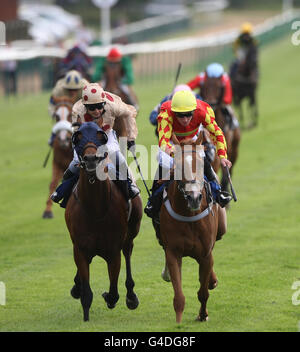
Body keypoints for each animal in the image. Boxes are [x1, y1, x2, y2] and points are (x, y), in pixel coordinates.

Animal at [64, 121, 142, 322]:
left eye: (101, 137)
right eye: (78, 138)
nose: (91, 159)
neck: (95, 209)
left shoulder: (113, 251)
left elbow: (113, 292)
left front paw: (109, 296)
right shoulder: (80, 248)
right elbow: (86, 293)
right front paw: (85, 314)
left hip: (131, 232)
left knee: (128, 252)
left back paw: (131, 295)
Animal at [154, 133, 226, 324]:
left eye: (201, 164)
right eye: (178, 166)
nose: (193, 197)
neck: (189, 215)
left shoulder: (205, 254)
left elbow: (203, 292)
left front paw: (203, 314)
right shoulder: (173, 252)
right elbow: (179, 296)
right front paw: (178, 322)